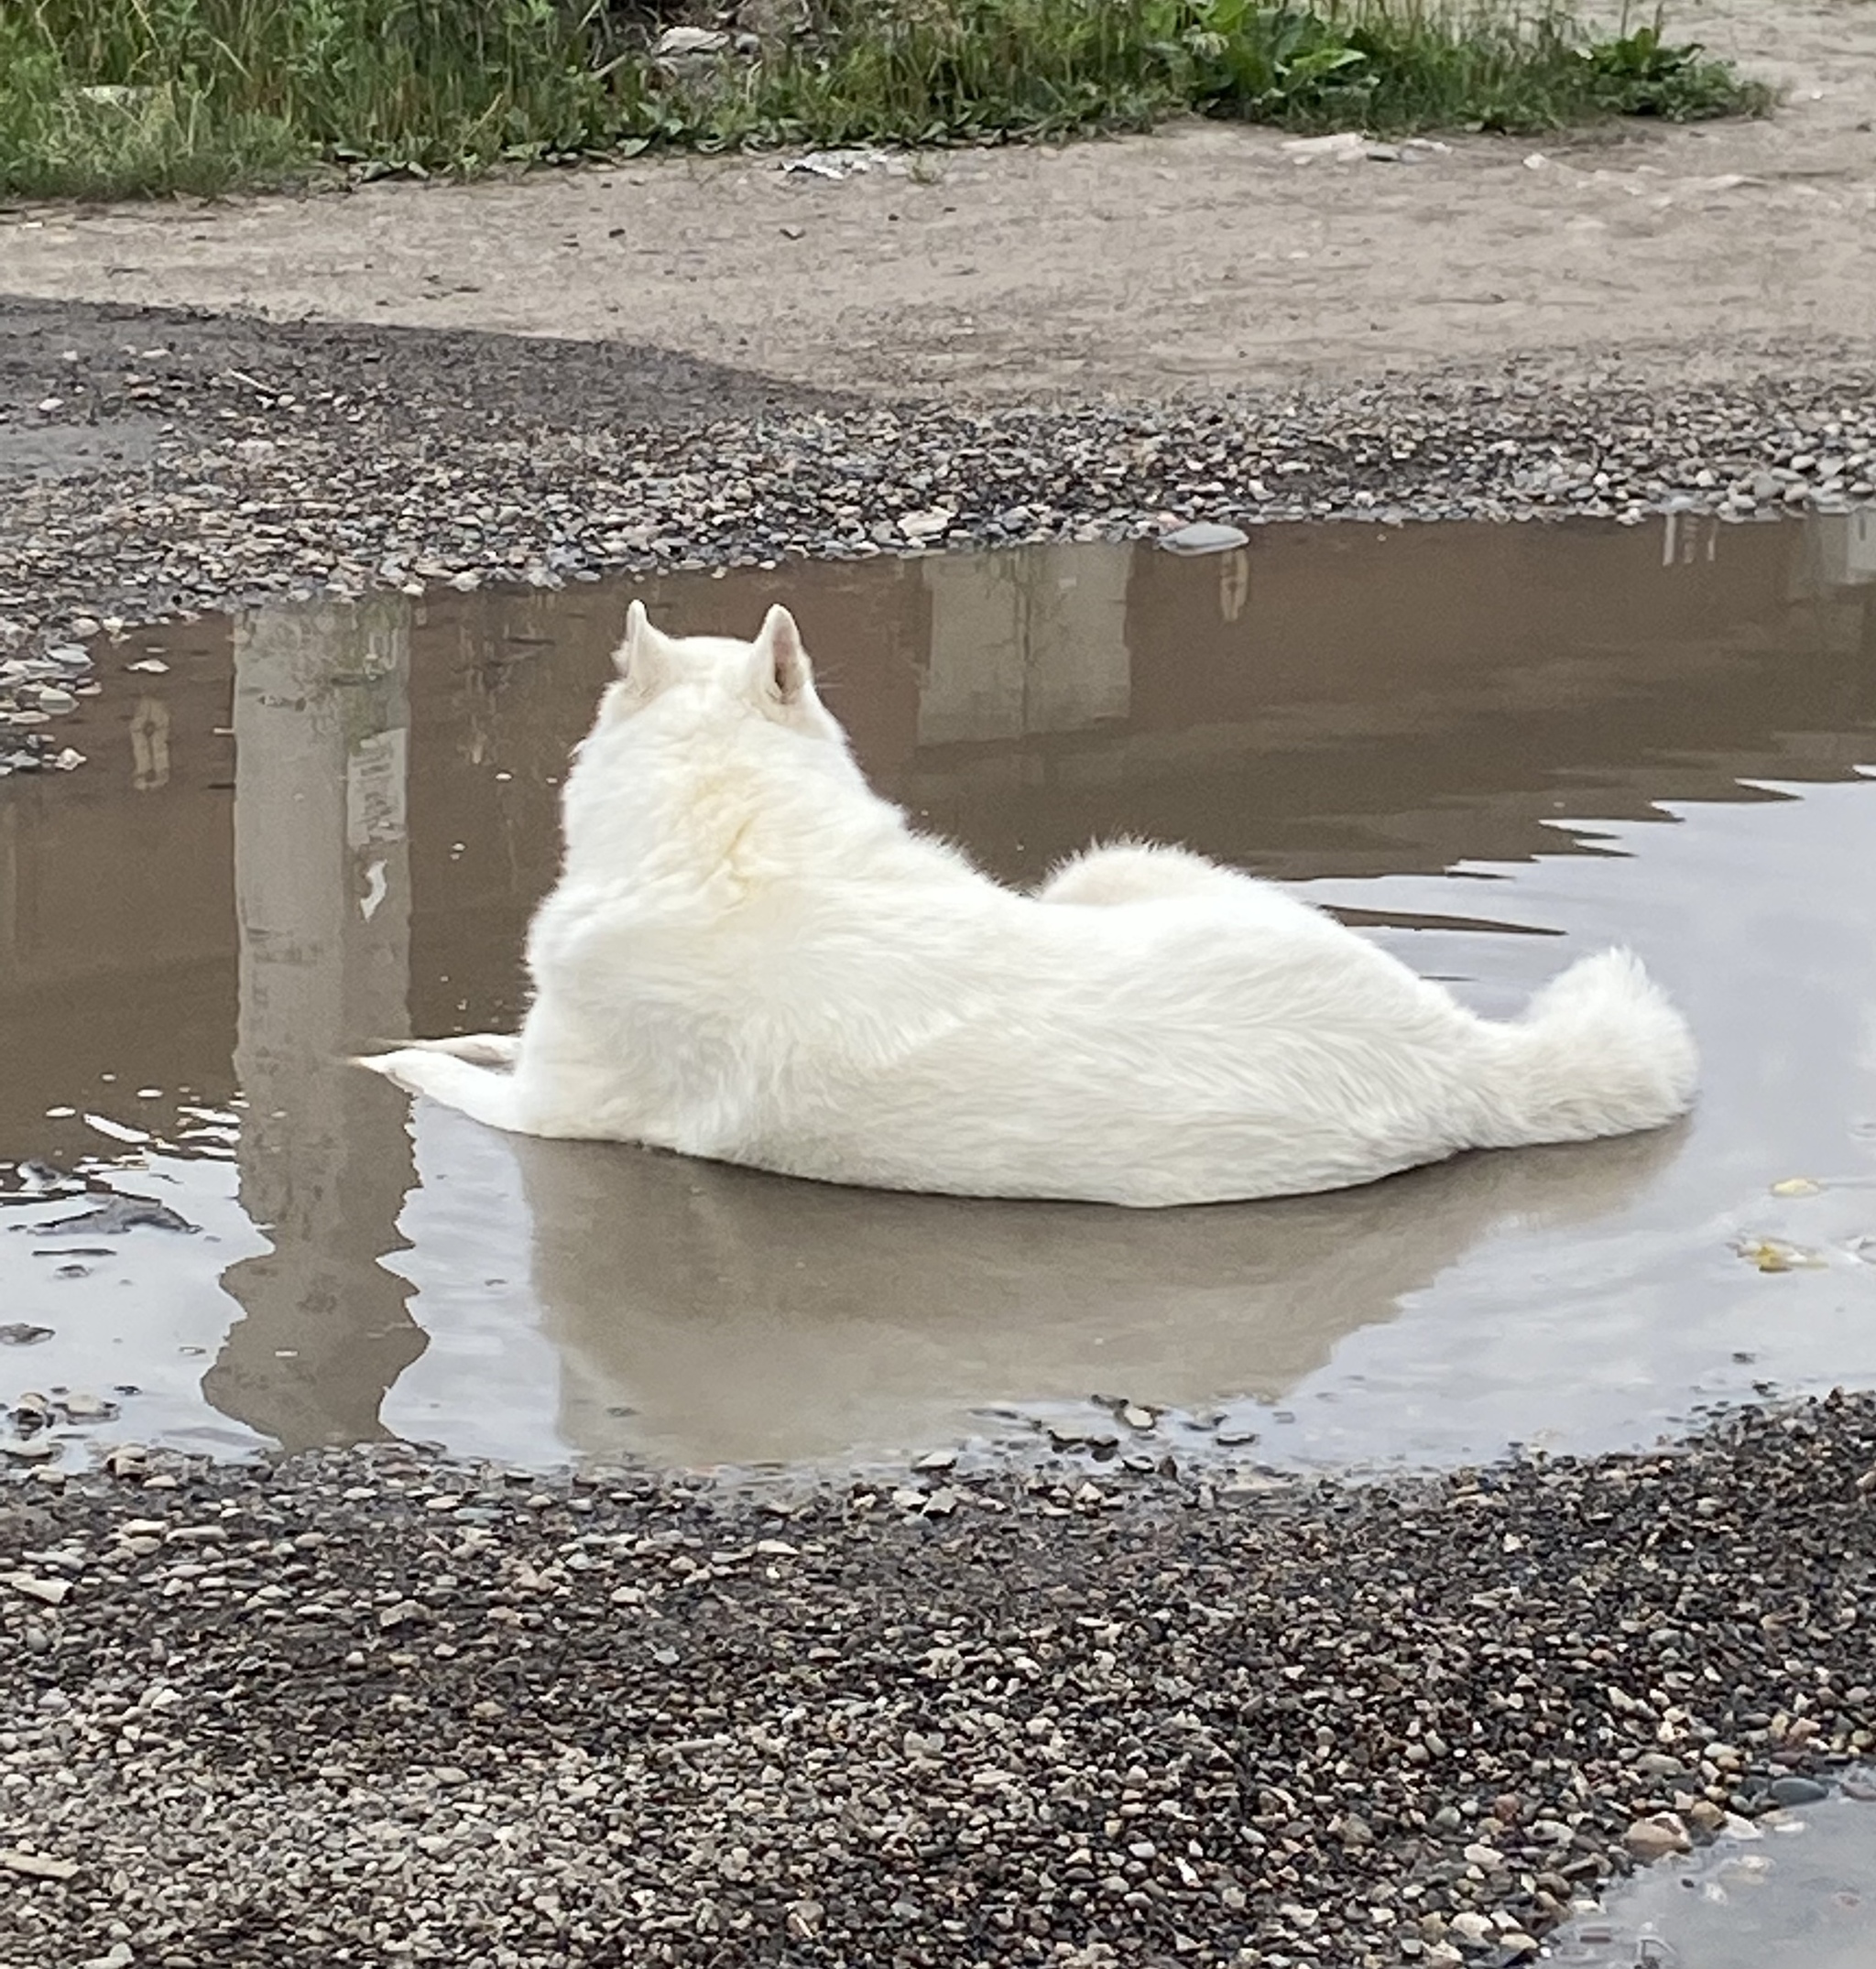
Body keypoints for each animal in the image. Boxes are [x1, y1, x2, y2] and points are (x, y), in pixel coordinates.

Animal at [354, 606, 1700, 1204]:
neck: (727, 833)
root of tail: (1469, 1062)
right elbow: (490, 1028)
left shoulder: (549, 1116)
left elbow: (436, 1067)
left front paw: (384, 1056)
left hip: (1097, 868)